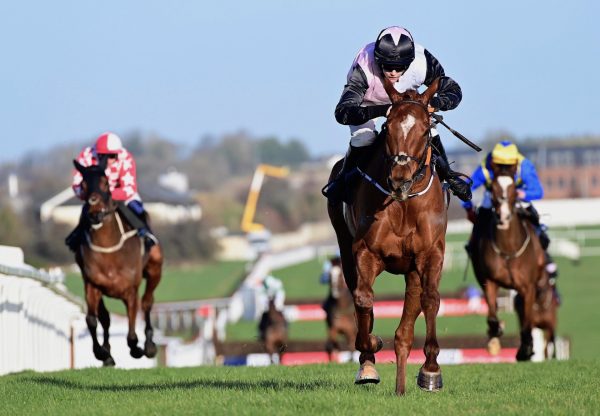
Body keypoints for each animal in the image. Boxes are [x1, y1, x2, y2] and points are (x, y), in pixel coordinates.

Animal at [74, 161, 164, 366]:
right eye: (83, 185)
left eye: (106, 183)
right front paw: (101, 352)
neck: (109, 251)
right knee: (105, 318)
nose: (95, 213)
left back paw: (149, 345)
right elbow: (92, 320)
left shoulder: (130, 291)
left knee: (147, 303)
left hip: (155, 269)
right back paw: (108, 353)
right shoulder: (92, 285)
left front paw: (137, 349)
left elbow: (131, 332)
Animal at [328, 76, 450, 394]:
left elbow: (430, 300)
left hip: (412, 270)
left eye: (425, 129)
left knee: (408, 323)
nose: (399, 179)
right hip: (345, 249)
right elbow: (363, 300)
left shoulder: (429, 254)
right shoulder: (365, 252)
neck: (403, 203)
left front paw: (431, 370)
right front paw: (370, 352)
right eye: (389, 127)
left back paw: (403, 383)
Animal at [468, 162, 548, 360]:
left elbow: (527, 320)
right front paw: (495, 334)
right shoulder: (490, 281)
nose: (503, 217)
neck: (508, 249)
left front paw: (525, 349)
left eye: (513, 189)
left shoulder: (528, 286)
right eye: (493, 188)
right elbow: (492, 315)